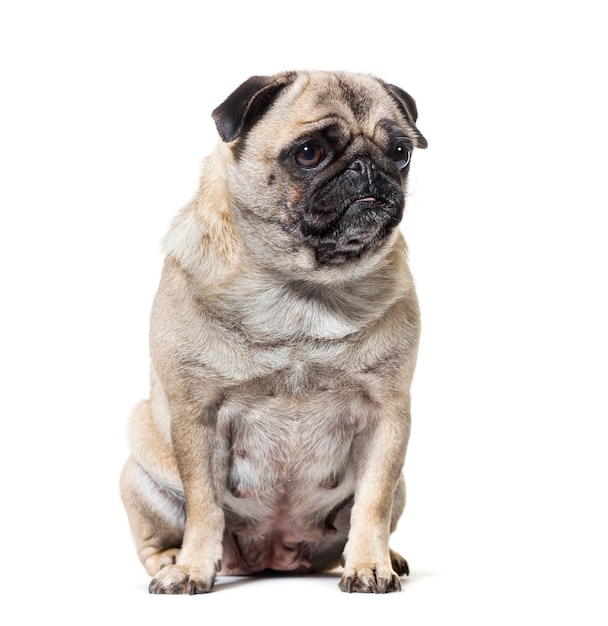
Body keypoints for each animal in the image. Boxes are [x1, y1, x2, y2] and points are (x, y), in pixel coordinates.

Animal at [120, 70, 428, 592]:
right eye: (309, 152)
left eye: (401, 152)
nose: (368, 166)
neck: (302, 288)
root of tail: (273, 553)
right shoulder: (197, 414)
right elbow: (204, 505)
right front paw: (193, 568)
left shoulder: (387, 415)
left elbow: (373, 502)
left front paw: (369, 564)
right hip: (140, 471)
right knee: (156, 537)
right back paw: (171, 560)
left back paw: (386, 556)